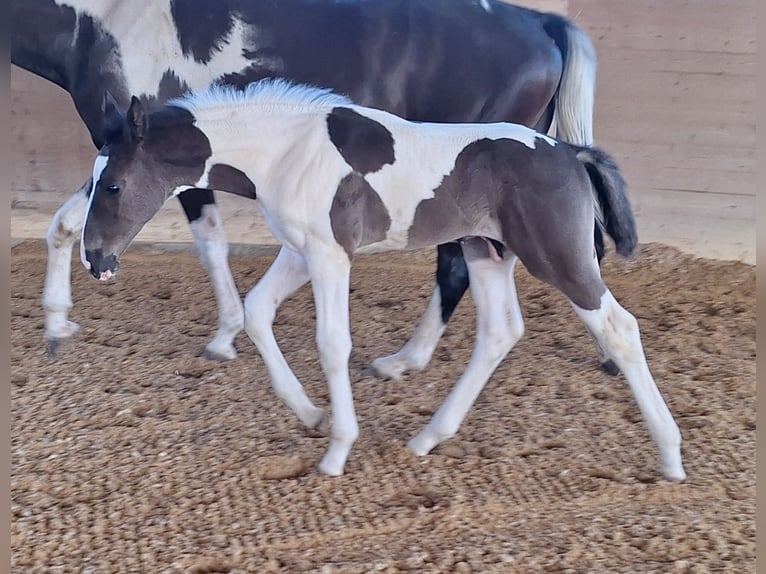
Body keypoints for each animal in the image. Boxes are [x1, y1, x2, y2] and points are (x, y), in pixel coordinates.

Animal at [7, 0, 608, 378]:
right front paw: (57, 326)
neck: (106, 19)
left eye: (115, 186)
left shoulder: (166, 160)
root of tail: (541, 21)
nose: (102, 267)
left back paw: (405, 360)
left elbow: (207, 243)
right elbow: (68, 223)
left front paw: (223, 338)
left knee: (461, 267)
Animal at [79, 81, 688, 484]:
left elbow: (332, 344)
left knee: (619, 328)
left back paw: (670, 456)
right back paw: (426, 438)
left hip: (557, 256)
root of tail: (567, 150)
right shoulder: (300, 251)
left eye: (112, 185)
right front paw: (310, 414)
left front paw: (336, 452)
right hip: (486, 250)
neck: (287, 150)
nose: (95, 260)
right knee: (499, 333)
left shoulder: (330, 255)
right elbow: (256, 312)